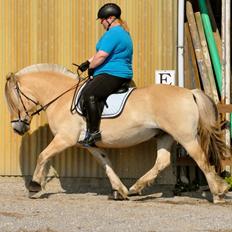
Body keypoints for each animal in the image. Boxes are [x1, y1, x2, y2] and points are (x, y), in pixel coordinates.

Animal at [4, 64, 231, 203]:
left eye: (12, 100)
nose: (18, 128)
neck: (61, 97)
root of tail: (189, 92)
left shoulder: (64, 139)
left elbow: (42, 155)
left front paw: (34, 186)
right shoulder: (89, 144)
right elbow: (106, 164)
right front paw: (119, 190)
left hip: (186, 137)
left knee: (201, 159)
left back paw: (218, 192)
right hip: (165, 135)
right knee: (162, 162)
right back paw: (135, 188)